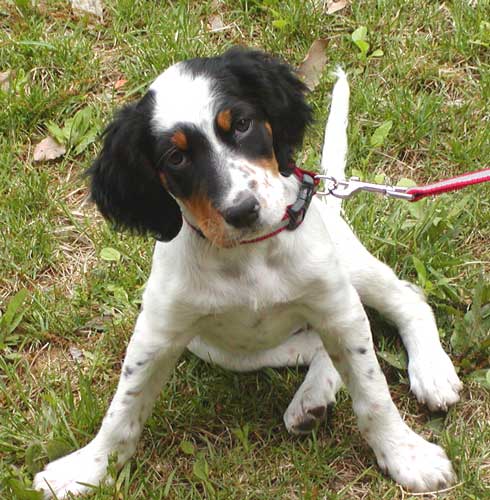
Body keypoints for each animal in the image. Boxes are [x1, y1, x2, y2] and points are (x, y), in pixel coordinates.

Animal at [34, 47, 463, 497]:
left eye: (241, 125)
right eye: (176, 157)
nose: (242, 211)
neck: (248, 256)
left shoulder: (336, 306)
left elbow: (373, 392)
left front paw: (405, 456)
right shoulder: (159, 333)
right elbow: (124, 408)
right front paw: (85, 469)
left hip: (348, 270)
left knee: (408, 298)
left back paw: (430, 371)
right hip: (222, 349)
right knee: (315, 347)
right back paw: (312, 398)